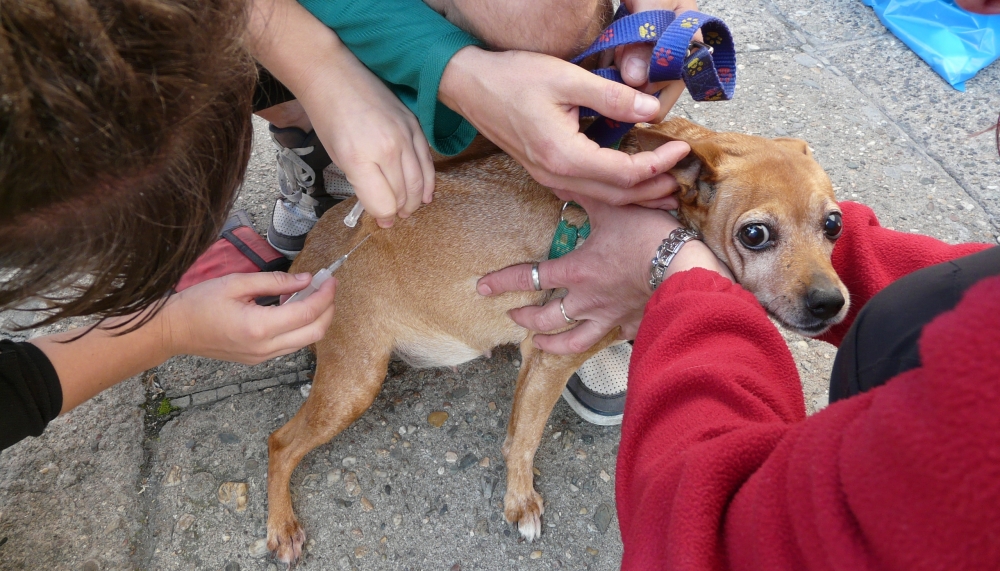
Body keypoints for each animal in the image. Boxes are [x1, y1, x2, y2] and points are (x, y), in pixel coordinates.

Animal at [262, 118, 848, 564]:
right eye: (755, 234)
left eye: (834, 225)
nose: (831, 303)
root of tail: (311, 258)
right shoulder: (551, 354)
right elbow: (525, 437)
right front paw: (520, 502)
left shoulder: (543, 356)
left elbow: (520, 429)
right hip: (356, 380)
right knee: (280, 444)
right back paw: (281, 525)